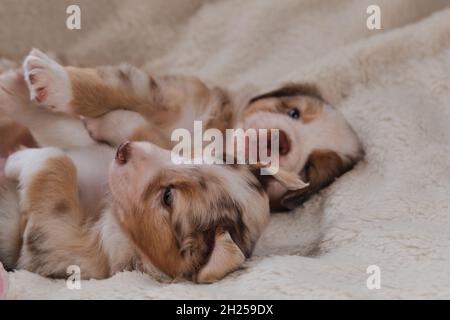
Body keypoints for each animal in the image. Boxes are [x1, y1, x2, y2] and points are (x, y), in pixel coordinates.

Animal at [14, 48, 364, 211]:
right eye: (293, 112)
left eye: (309, 168)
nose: (281, 142)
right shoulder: (172, 94)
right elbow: (118, 88)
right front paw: (53, 80)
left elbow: (141, 132)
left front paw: (107, 122)